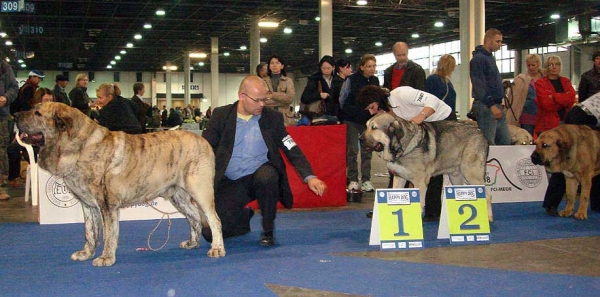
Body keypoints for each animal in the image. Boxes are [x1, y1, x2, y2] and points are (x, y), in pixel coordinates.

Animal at [14, 102, 225, 266]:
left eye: (37, 113)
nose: (15, 115)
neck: (80, 147)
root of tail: (203, 140)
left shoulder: (107, 204)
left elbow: (108, 234)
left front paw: (105, 258)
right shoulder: (88, 204)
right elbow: (90, 232)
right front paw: (86, 253)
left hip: (199, 189)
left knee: (214, 219)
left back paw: (217, 248)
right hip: (177, 195)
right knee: (194, 216)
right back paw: (192, 243)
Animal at [360, 112, 492, 221]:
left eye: (374, 128)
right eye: (366, 126)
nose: (360, 139)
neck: (404, 146)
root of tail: (481, 132)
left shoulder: (420, 182)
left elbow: (420, 204)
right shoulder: (399, 178)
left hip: (471, 173)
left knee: (487, 194)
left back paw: (488, 217)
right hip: (456, 176)